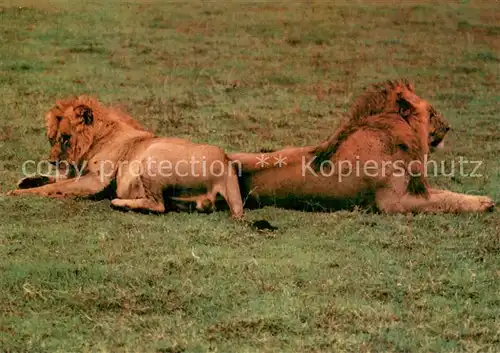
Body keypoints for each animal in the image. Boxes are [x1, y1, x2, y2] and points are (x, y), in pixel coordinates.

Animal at [6, 95, 246, 219]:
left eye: (66, 138)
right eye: (51, 138)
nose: (52, 161)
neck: (98, 137)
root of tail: (227, 165)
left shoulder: (95, 181)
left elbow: (54, 187)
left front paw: (16, 193)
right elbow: (52, 180)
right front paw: (26, 181)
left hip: (152, 155)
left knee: (158, 205)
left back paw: (120, 203)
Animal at [230, 78, 496, 213]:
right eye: (431, 113)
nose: (448, 127)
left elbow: (447, 195)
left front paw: (484, 200)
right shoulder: (391, 202)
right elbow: (442, 202)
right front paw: (484, 205)